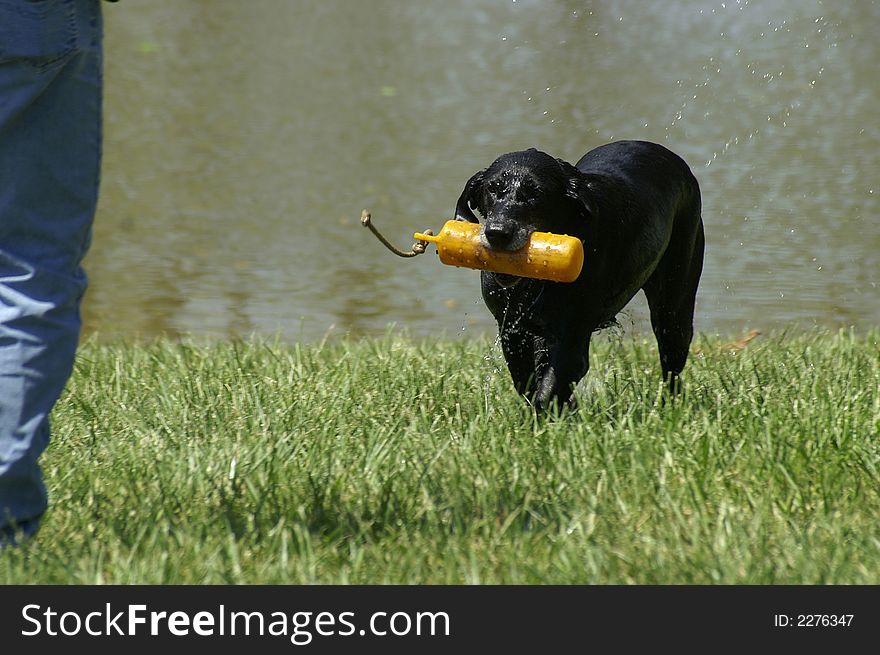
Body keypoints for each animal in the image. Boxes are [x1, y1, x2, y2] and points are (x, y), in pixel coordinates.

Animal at [458, 142, 704, 412]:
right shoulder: (513, 332)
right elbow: (528, 382)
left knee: (672, 364)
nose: (498, 232)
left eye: (536, 192)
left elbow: (547, 392)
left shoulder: (571, 339)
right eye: (492, 188)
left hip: (674, 309)